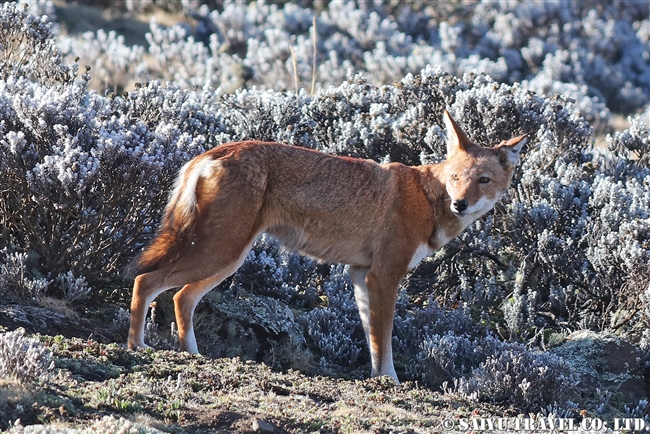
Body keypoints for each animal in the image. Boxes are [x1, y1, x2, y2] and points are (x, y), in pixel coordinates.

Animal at [128, 110, 528, 382]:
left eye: (483, 180)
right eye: (456, 178)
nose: (460, 203)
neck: (427, 198)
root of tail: (213, 152)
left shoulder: (362, 275)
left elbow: (372, 340)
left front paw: (378, 380)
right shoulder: (384, 276)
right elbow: (384, 339)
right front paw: (390, 382)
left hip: (227, 261)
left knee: (181, 298)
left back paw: (193, 356)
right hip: (222, 254)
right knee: (145, 282)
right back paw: (137, 347)